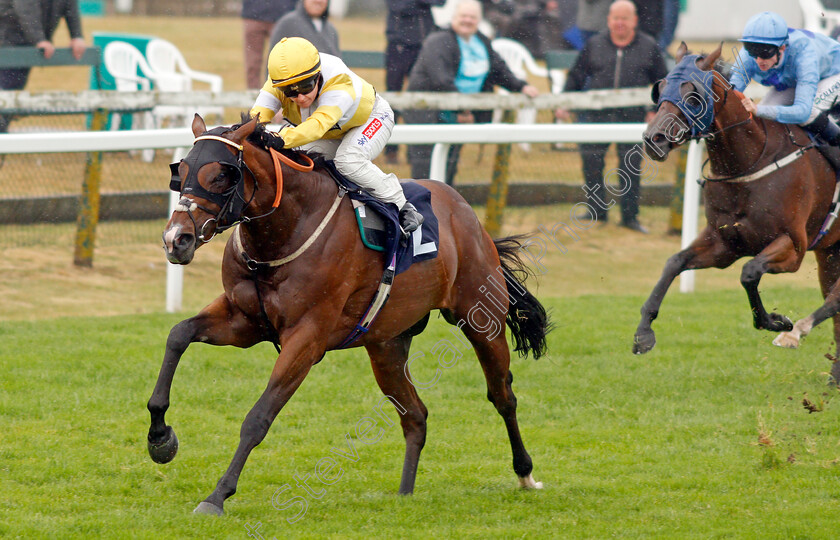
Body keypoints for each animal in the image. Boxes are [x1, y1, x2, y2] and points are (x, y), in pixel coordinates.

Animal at [146, 115, 552, 516]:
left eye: (221, 174)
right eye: (181, 171)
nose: (175, 239)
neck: (286, 231)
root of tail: (468, 214)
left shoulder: (307, 339)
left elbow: (258, 418)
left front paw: (217, 496)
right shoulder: (243, 321)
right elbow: (178, 335)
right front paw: (160, 439)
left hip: (481, 318)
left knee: (502, 395)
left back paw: (525, 474)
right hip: (387, 345)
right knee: (415, 415)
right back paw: (405, 494)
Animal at [632, 42, 840, 380]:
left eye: (693, 95)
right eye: (659, 89)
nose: (654, 139)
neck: (749, 162)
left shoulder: (794, 246)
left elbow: (750, 272)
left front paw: (777, 322)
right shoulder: (724, 245)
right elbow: (674, 262)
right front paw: (643, 334)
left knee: (835, 298)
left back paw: (796, 332)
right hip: (830, 250)